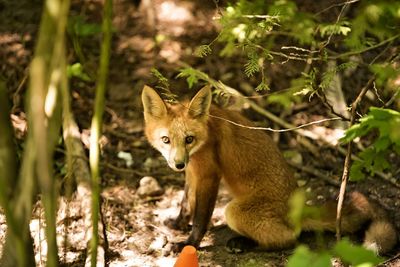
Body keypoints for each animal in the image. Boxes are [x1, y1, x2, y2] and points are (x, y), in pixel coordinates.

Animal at [141, 85, 396, 254]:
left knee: (291, 239)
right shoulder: (192, 173)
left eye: (189, 139)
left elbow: (200, 218)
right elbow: (187, 203)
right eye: (165, 140)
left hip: (234, 211)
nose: (178, 164)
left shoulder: (208, 176)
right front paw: (177, 223)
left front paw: (189, 244)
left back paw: (246, 244)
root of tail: (298, 209)